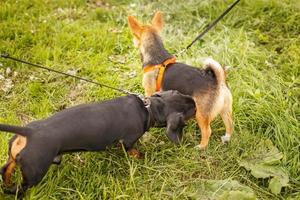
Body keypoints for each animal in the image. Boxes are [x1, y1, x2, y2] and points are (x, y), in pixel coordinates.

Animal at [0, 91, 196, 196]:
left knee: (5, 169)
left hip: (15, 159)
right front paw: (140, 156)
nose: (196, 101)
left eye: (183, 94)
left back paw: (6, 182)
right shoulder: (129, 141)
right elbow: (132, 150)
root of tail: (29, 132)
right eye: (192, 110)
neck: (148, 108)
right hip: (34, 173)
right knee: (19, 188)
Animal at [127, 10, 233, 148]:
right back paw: (227, 138)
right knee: (229, 124)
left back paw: (201, 147)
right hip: (225, 110)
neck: (157, 58)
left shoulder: (149, 92)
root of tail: (218, 81)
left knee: (207, 131)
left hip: (201, 113)